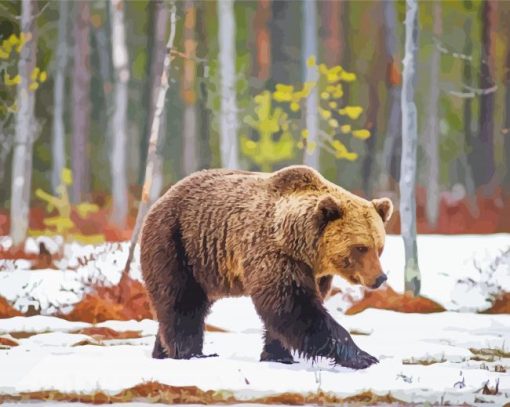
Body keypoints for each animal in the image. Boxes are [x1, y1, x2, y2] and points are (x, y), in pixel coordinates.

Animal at [141, 165, 392, 370]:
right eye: (360, 247)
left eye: (379, 247)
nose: (380, 277)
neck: (305, 247)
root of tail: (161, 198)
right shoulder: (275, 254)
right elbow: (293, 307)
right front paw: (363, 356)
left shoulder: (315, 272)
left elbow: (291, 312)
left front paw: (277, 354)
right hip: (178, 244)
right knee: (182, 302)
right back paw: (190, 353)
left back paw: (161, 351)